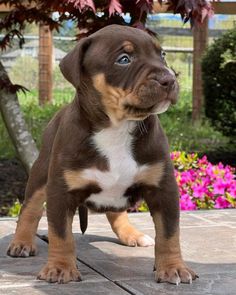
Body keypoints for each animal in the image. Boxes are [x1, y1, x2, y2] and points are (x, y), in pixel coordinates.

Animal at [6, 26, 197, 286]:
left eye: (163, 54)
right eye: (124, 59)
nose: (169, 78)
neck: (116, 127)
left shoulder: (163, 188)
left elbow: (169, 233)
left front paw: (173, 268)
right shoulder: (60, 191)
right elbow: (60, 234)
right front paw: (60, 268)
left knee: (116, 212)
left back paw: (133, 235)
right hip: (40, 172)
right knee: (30, 208)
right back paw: (22, 243)